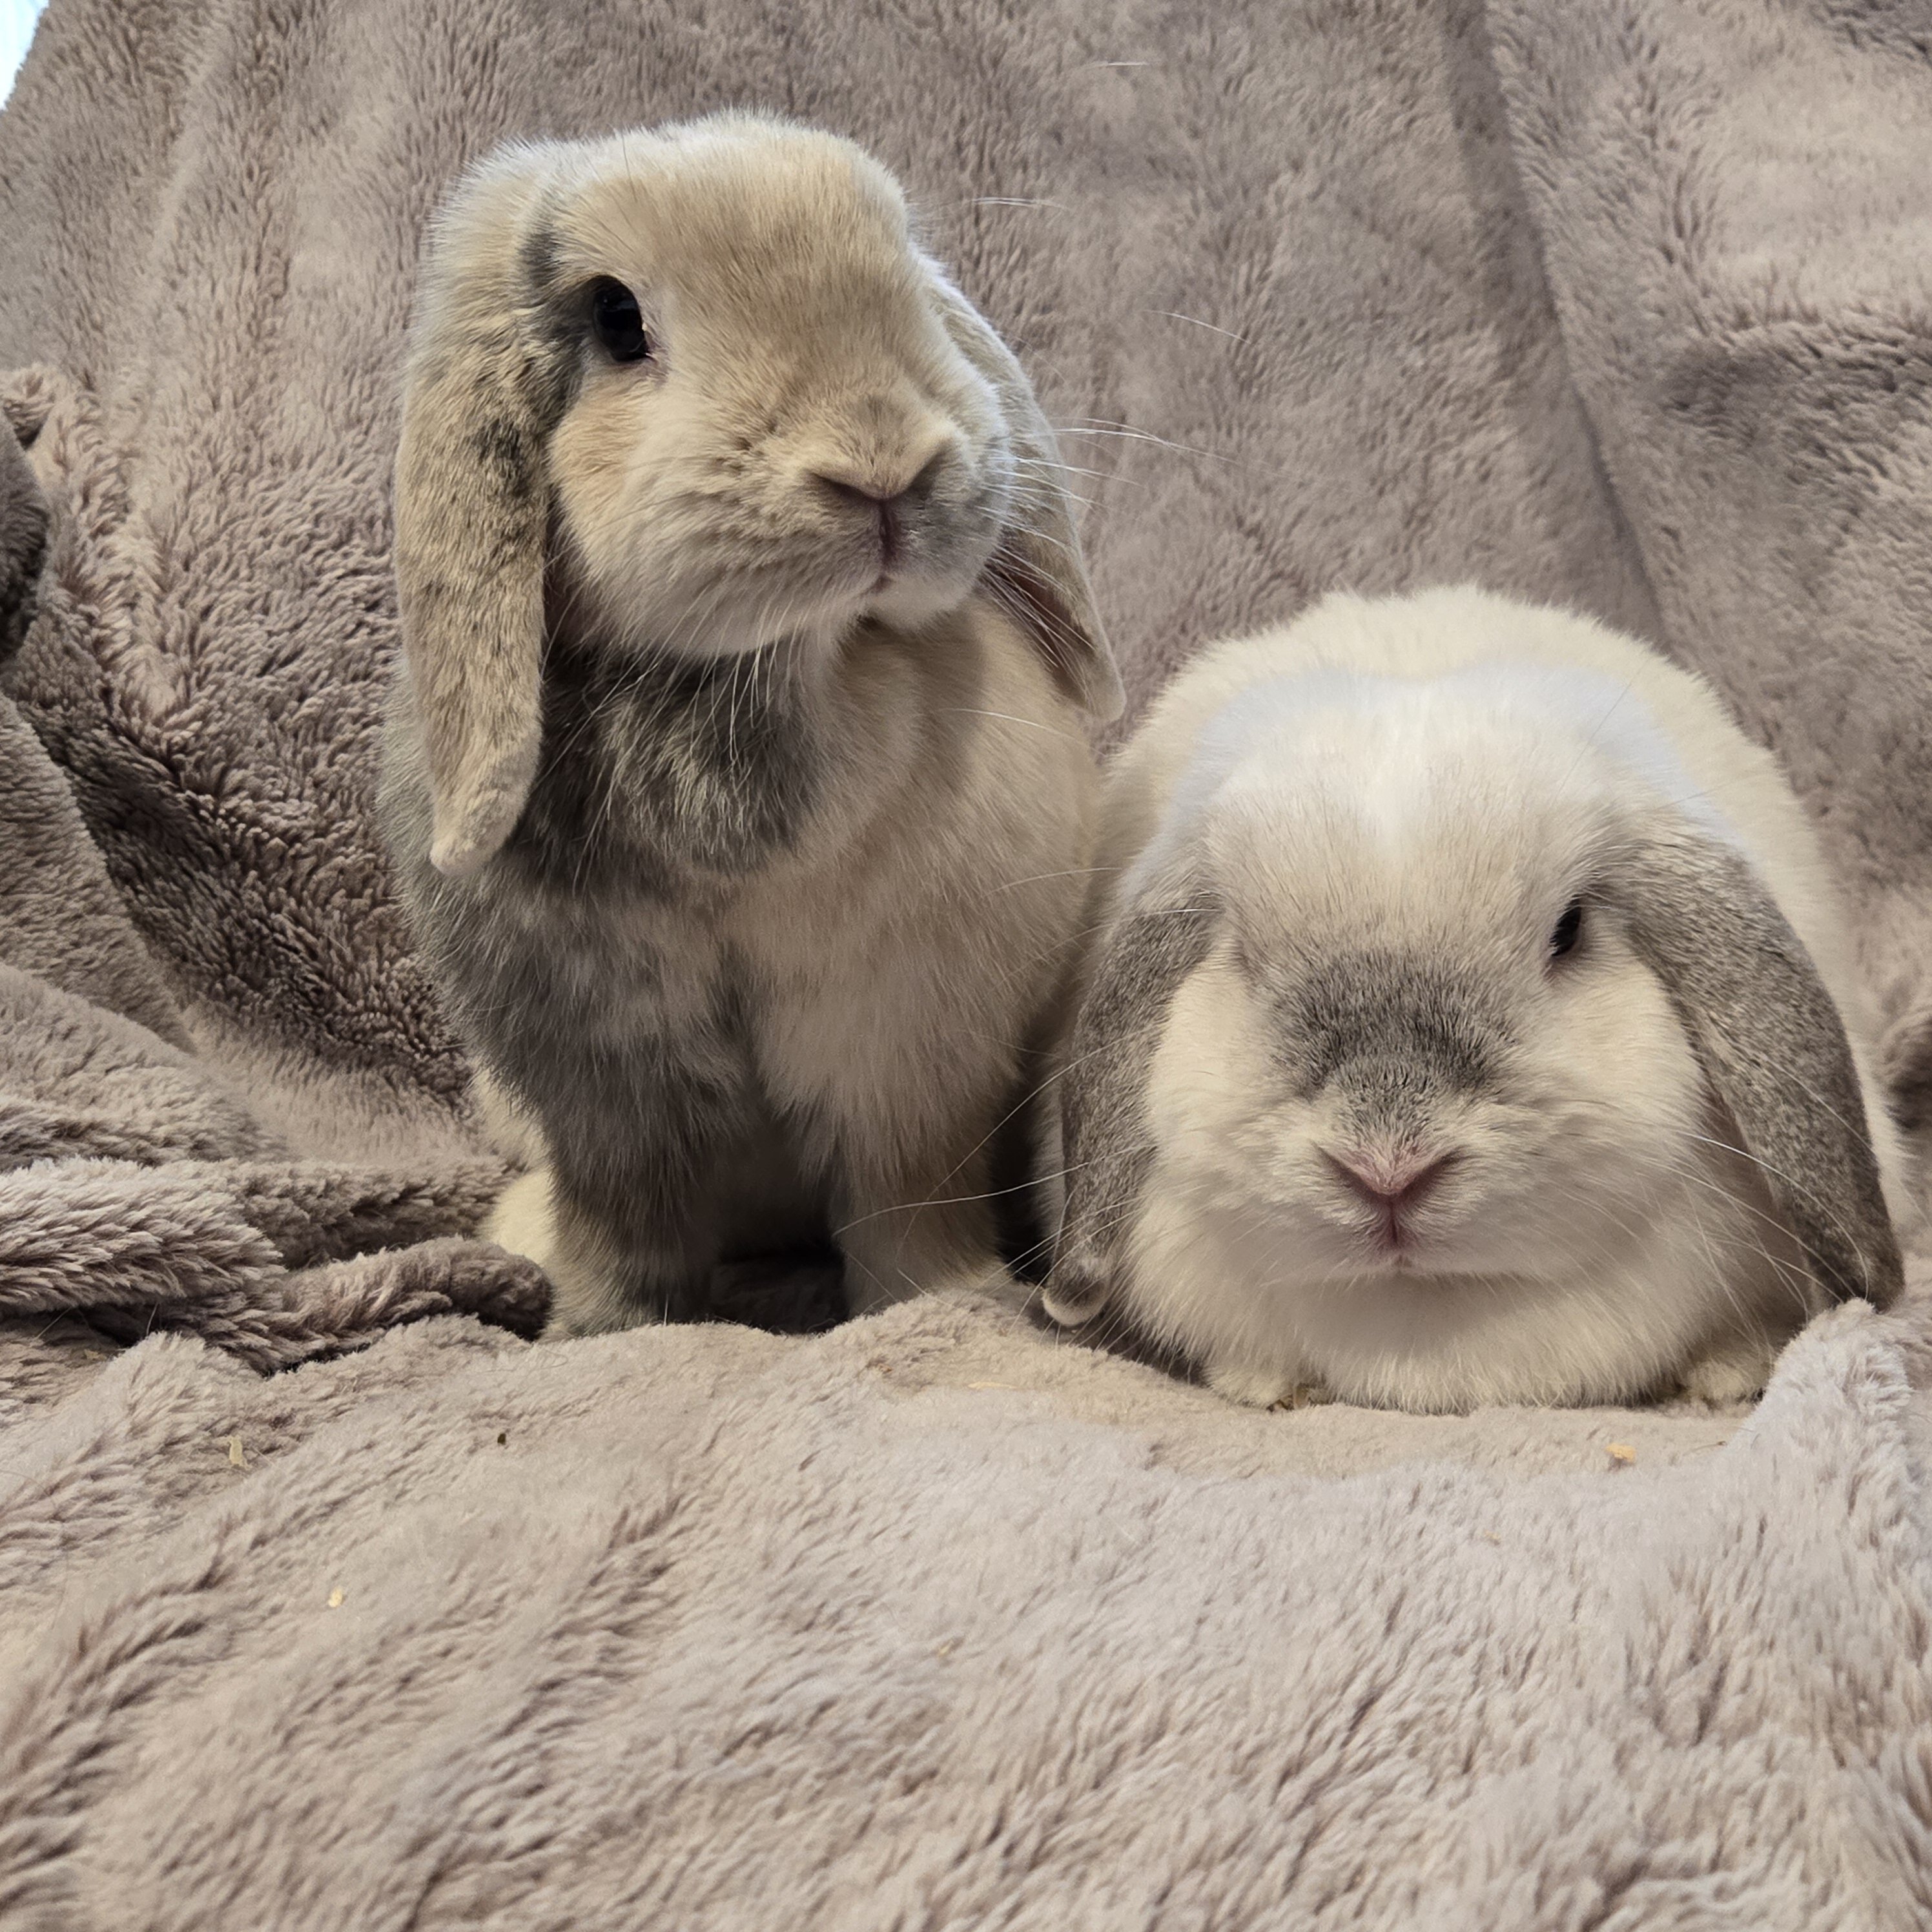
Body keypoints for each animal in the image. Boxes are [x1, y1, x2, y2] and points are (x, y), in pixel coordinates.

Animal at [378, 114, 1121, 1337]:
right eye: (615, 318)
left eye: (903, 261)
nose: (883, 465)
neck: (779, 681)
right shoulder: (604, 1089)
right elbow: (631, 1225)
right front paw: (597, 1329)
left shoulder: (909, 1061)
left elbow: (904, 1200)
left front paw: (941, 1304)